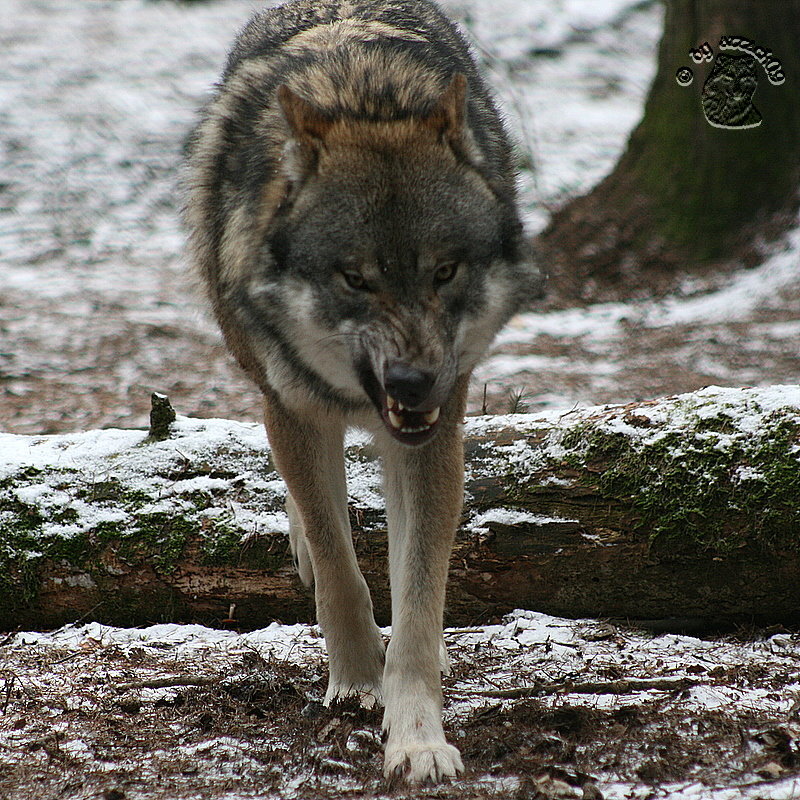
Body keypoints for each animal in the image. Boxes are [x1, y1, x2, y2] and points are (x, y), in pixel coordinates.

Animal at [184, 0, 540, 788]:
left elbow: (419, 596)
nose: (415, 381)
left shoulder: (435, 434)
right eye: (356, 278)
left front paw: (417, 736)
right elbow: (340, 564)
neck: (366, 99)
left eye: (444, 272)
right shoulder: (295, 407)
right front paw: (355, 679)